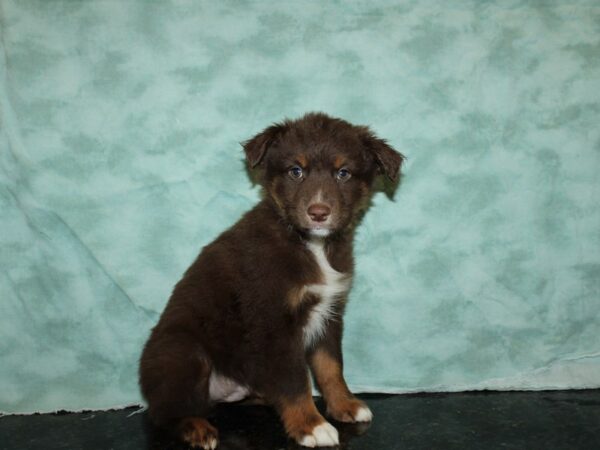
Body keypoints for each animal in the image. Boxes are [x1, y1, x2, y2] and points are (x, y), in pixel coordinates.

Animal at [138, 111, 406, 446]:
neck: (310, 244)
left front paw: (344, 405)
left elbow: (331, 366)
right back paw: (196, 428)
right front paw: (310, 424)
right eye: (296, 171)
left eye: (343, 173)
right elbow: (295, 380)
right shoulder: (273, 321)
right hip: (183, 352)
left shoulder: (330, 313)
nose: (319, 212)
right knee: (163, 411)